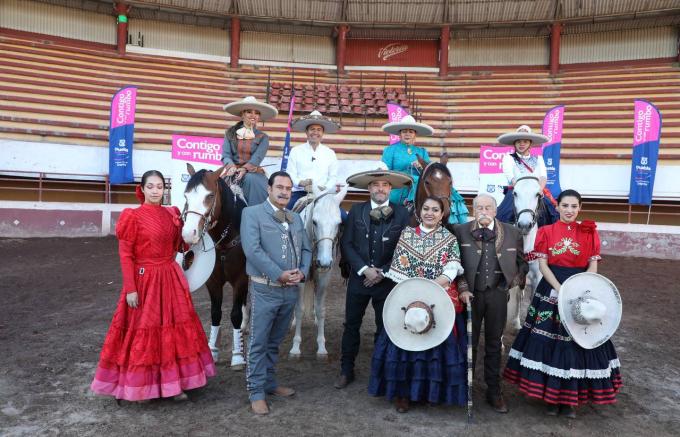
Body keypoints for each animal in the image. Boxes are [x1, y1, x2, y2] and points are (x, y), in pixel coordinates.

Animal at [181, 164, 250, 368]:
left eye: (210, 196)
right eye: (186, 195)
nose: (188, 233)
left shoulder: (241, 278)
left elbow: (234, 314)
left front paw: (237, 355)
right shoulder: (212, 281)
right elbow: (215, 313)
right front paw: (212, 350)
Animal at [290, 183, 348, 358]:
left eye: (339, 223)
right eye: (315, 222)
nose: (324, 261)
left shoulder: (324, 278)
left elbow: (321, 310)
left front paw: (322, 347)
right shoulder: (299, 280)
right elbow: (299, 309)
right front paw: (295, 347)